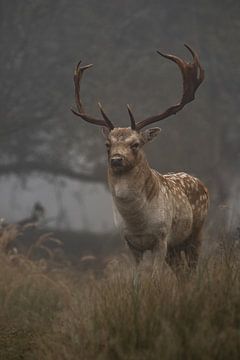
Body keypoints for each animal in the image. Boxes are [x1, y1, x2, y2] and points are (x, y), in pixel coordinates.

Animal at [71, 44, 208, 270]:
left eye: (135, 144)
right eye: (107, 144)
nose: (116, 159)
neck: (138, 223)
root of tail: (201, 183)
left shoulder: (162, 237)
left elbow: (154, 274)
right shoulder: (130, 242)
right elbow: (138, 275)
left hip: (196, 232)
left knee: (192, 268)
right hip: (176, 246)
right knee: (182, 272)